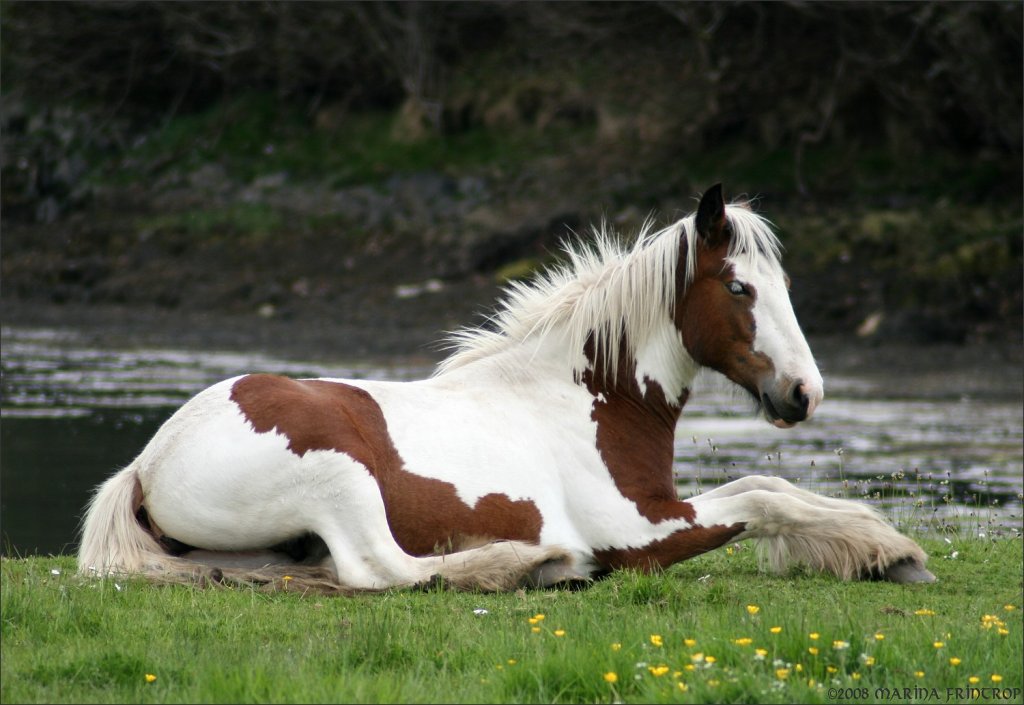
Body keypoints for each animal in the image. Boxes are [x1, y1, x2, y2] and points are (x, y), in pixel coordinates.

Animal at [77, 184, 937, 590]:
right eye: (738, 287)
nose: (804, 393)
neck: (586, 398)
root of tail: (146, 464)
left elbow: (773, 485)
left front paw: (882, 548)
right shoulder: (639, 530)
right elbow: (763, 498)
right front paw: (889, 551)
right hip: (338, 477)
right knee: (381, 569)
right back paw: (535, 565)